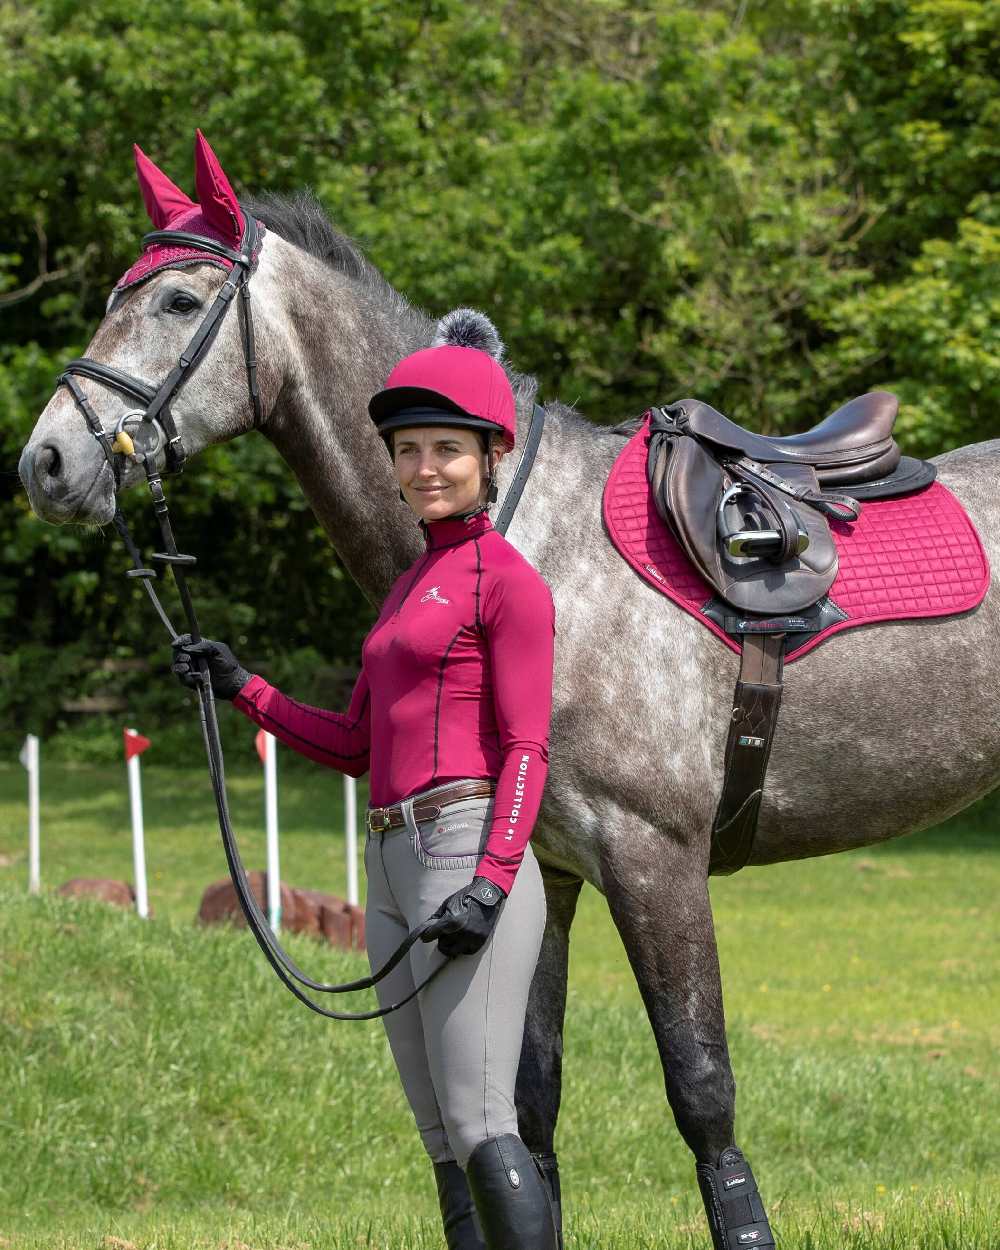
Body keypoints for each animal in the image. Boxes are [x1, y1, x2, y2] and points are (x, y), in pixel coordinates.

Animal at [17, 192, 1000, 1240]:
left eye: (177, 299)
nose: (46, 462)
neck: (534, 547)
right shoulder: (542, 878)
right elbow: (528, 1103)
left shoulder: (654, 863)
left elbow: (702, 1093)